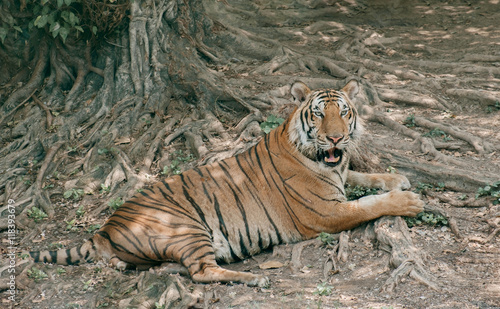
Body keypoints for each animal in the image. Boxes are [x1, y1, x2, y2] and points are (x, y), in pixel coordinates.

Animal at [27, 79, 424, 286]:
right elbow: (368, 204)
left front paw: (398, 177)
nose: (337, 138)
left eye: (343, 112)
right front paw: (410, 200)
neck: (321, 160)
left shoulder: (340, 177)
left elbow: (363, 176)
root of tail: (104, 228)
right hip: (187, 228)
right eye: (318, 115)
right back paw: (255, 279)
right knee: (202, 272)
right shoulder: (325, 212)